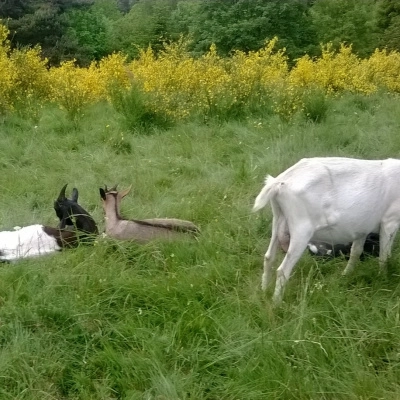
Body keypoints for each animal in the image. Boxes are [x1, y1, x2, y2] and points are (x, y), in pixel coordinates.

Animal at [253, 156, 400, 304]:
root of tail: (278, 182)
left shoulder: (362, 228)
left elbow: (355, 252)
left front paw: (346, 274)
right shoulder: (390, 221)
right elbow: (384, 256)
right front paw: (383, 279)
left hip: (278, 221)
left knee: (269, 257)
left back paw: (264, 291)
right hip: (301, 230)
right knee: (283, 270)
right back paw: (276, 303)